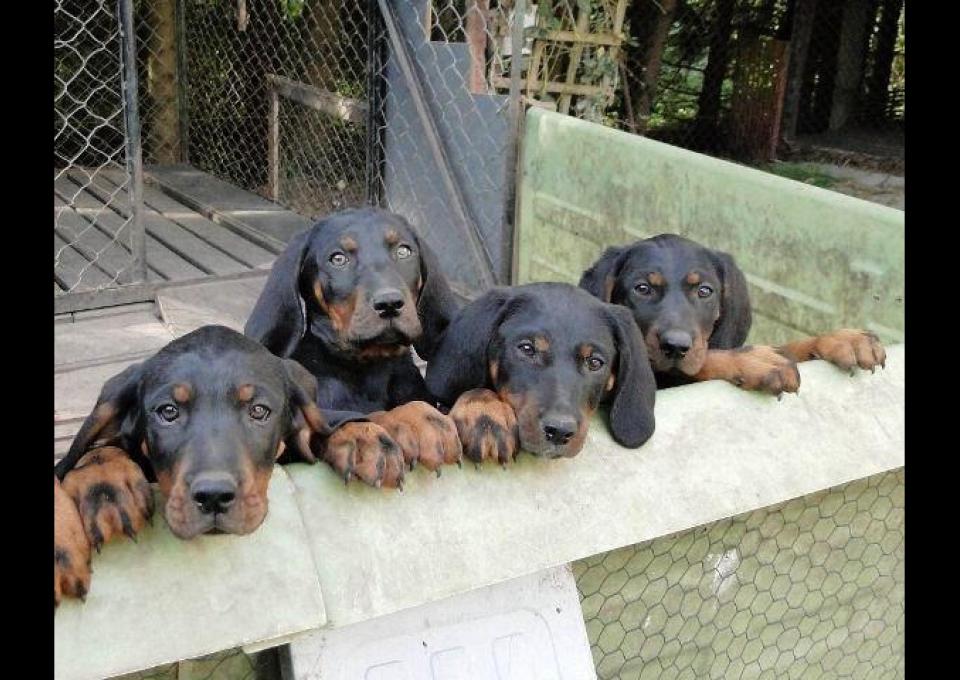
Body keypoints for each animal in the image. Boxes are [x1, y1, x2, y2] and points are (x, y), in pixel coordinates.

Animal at [50, 326, 390, 608]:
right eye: (168, 412)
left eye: (259, 411)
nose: (213, 497)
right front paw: (103, 483)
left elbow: (325, 426)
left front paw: (363, 436)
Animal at [576, 234, 884, 394]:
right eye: (642, 289)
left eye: (704, 291)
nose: (675, 347)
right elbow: (706, 360)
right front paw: (754, 361)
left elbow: (789, 346)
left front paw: (843, 339)